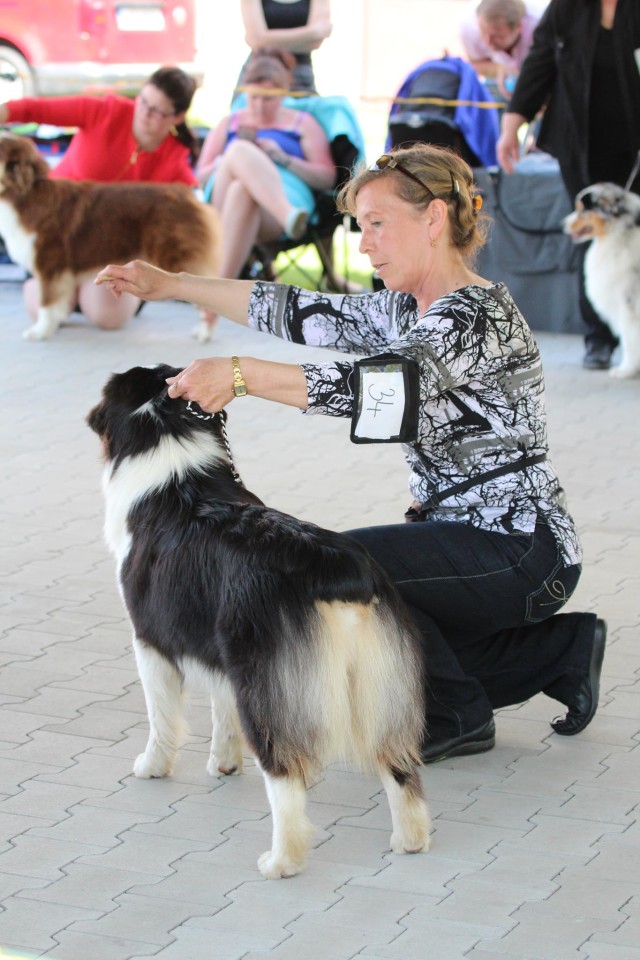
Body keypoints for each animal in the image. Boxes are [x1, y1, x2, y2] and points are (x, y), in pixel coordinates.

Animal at [0, 131, 220, 342]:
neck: (23, 195)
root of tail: (189, 196)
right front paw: (51, 326)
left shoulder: (50, 263)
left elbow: (46, 302)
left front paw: (39, 332)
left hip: (175, 255)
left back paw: (204, 333)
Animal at [87, 366, 430, 876]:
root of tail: (334, 568)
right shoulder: (219, 648)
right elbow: (221, 708)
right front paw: (225, 764)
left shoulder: (151, 640)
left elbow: (162, 715)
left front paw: (152, 766)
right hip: (380, 681)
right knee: (399, 764)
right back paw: (409, 840)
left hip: (268, 679)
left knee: (285, 775)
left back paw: (280, 861)